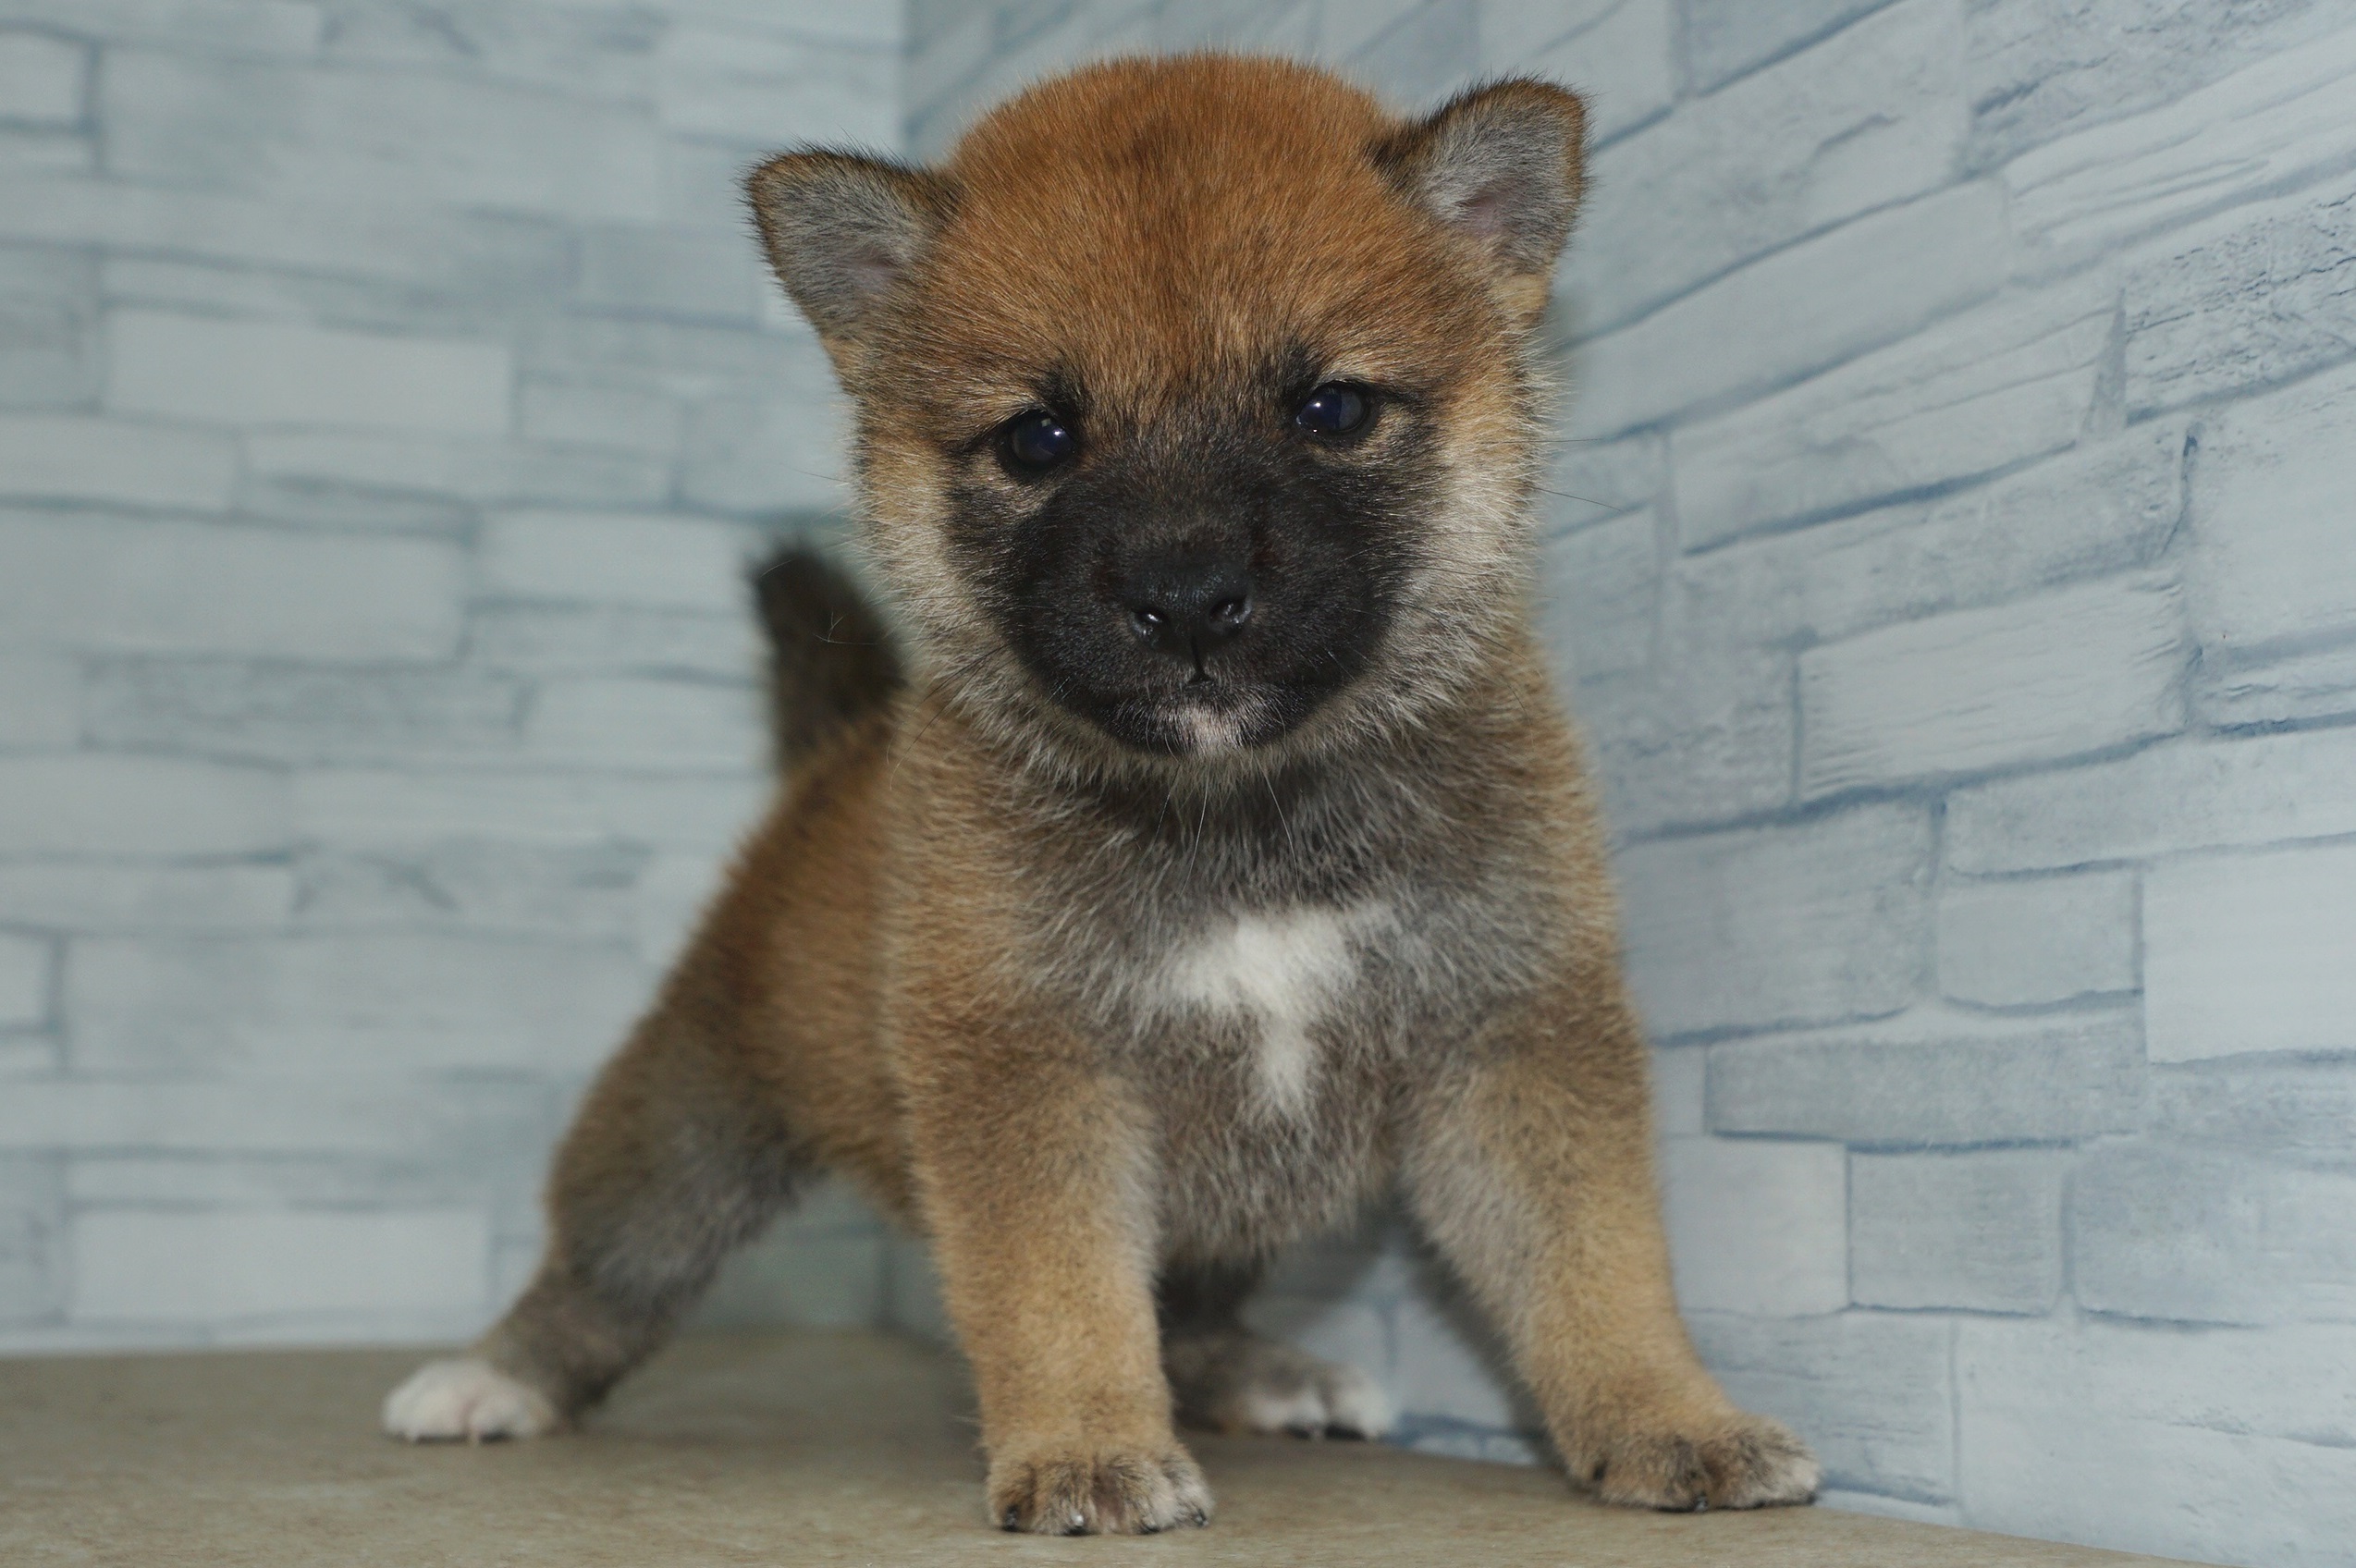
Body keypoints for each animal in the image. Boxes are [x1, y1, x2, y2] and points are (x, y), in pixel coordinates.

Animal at [381, 57, 1819, 1525]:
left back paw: (1269, 1378)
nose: (1185, 595)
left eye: (1331, 410)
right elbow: (1059, 1291)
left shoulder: (1514, 1032)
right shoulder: (1030, 1066)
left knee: (1190, 1313)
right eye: (1038, 437)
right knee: (605, 1275)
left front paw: (1669, 1418)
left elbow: (1597, 1264)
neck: (1242, 812)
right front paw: (1083, 1447)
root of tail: (833, 762)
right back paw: (494, 1378)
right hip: (686, 1135)